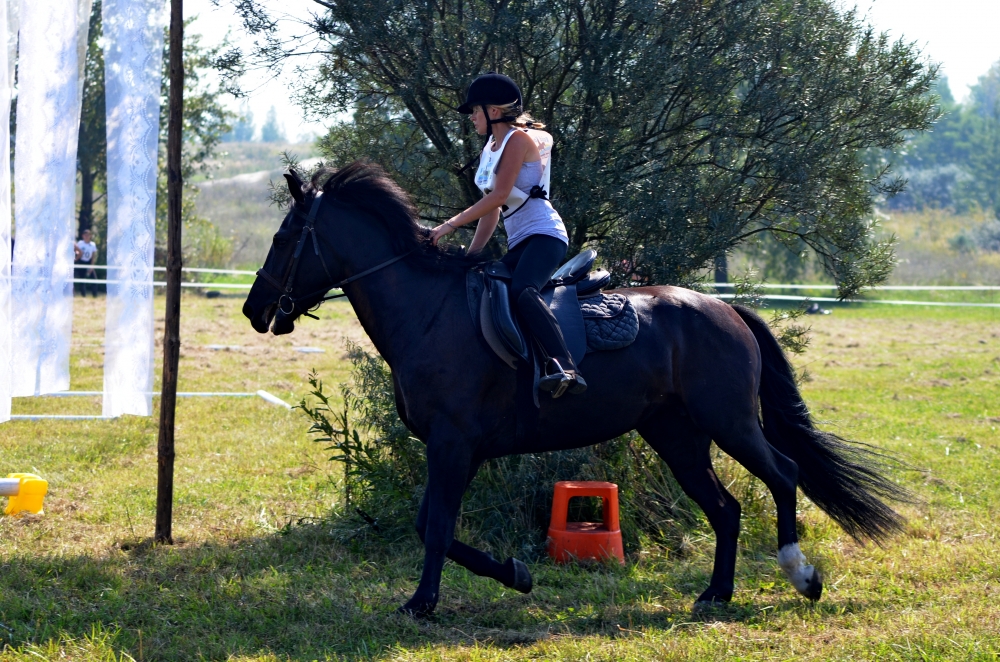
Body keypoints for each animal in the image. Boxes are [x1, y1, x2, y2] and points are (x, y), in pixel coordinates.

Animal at [242, 161, 908, 617]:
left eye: (282, 239)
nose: (254, 310)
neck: (428, 312)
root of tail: (725, 308)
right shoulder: (454, 447)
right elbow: (431, 524)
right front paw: (516, 573)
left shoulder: (453, 444)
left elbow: (434, 526)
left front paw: (422, 603)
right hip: (676, 434)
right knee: (725, 507)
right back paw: (715, 594)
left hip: (730, 422)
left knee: (784, 475)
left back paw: (801, 575)